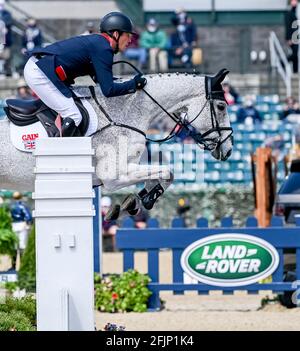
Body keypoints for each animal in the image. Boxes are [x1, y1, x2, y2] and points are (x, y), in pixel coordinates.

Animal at [0, 69, 233, 217]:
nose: (229, 150)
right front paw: (146, 199)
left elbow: (165, 173)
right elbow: (167, 171)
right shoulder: (114, 176)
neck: (126, 111)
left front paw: (140, 199)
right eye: (221, 106)